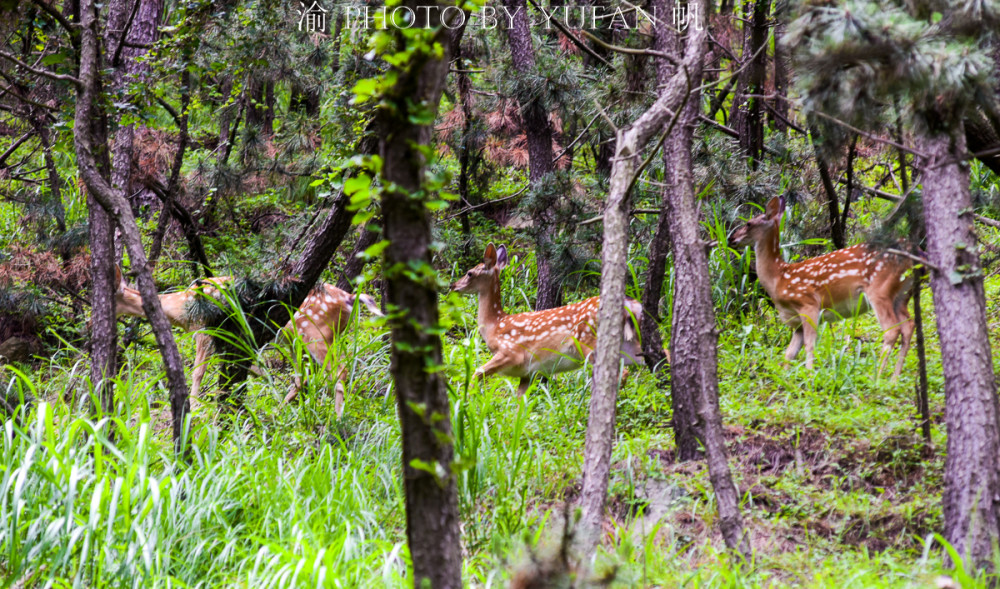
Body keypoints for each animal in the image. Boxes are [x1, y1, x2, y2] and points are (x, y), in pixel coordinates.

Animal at [113, 266, 382, 414]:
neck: (181, 307)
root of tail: (349, 298)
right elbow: (255, 368)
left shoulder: (205, 328)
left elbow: (198, 371)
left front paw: (195, 405)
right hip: (299, 339)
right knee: (302, 377)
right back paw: (280, 410)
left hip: (317, 334)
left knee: (340, 371)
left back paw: (337, 420)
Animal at [452, 243, 656, 396]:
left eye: (470, 273)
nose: (453, 286)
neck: (494, 326)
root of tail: (630, 304)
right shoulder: (528, 373)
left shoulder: (511, 352)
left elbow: (476, 373)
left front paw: (467, 401)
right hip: (629, 344)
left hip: (588, 340)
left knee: (622, 373)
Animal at [728, 195, 916, 378]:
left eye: (748, 223)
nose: (731, 239)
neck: (778, 279)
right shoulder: (796, 322)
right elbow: (790, 353)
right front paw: (786, 377)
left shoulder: (808, 302)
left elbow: (810, 345)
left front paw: (810, 375)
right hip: (902, 294)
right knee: (908, 325)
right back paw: (894, 379)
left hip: (879, 289)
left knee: (892, 330)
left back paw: (877, 377)